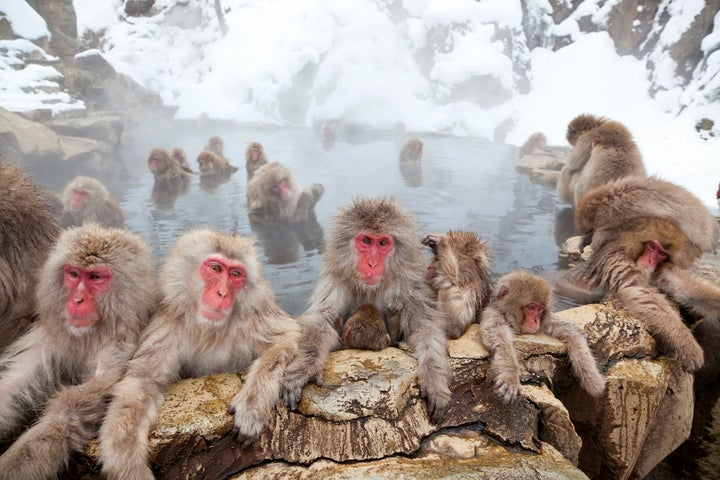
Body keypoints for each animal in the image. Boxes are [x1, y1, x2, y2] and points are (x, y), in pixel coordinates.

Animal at [0, 225, 155, 480]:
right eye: (74, 274)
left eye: (96, 277)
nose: (77, 299)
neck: (92, 335)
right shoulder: (52, 339)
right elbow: (13, 388)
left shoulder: (119, 349)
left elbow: (71, 411)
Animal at [97, 230, 300, 480]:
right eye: (215, 268)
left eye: (235, 274)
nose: (222, 293)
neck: (210, 328)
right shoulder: (167, 328)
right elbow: (140, 383)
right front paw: (127, 463)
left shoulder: (254, 319)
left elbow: (288, 339)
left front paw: (252, 406)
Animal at [282, 197, 450, 422]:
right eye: (367, 241)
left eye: (383, 243)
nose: (371, 264)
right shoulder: (336, 281)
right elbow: (320, 321)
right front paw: (303, 369)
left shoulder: (410, 285)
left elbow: (424, 328)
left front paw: (434, 378)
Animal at [480, 272, 604, 404]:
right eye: (531, 307)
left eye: (540, 309)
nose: (536, 321)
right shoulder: (493, 315)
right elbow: (499, 341)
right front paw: (510, 375)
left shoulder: (544, 322)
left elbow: (570, 328)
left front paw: (592, 377)